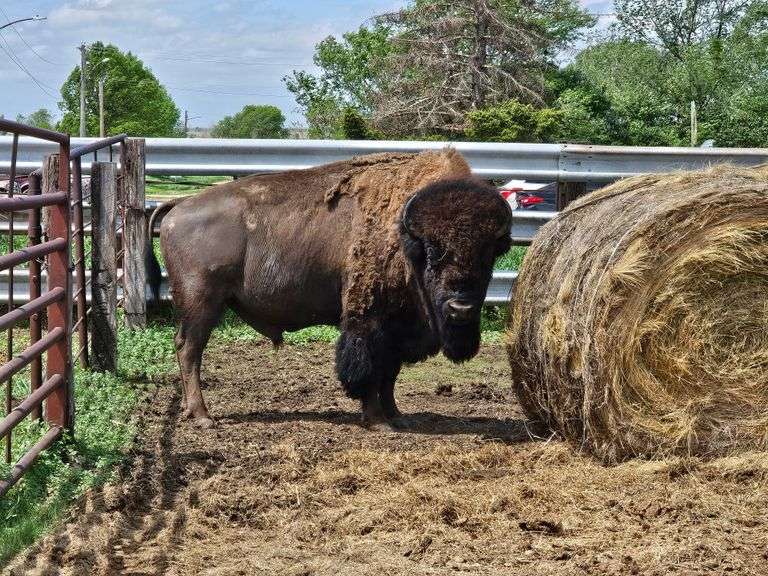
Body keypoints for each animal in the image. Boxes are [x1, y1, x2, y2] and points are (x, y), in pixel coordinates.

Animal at [149, 150, 512, 429]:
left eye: (489, 254)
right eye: (434, 251)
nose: (461, 308)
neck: (405, 237)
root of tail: (180, 204)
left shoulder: (396, 326)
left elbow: (390, 374)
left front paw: (397, 416)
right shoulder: (368, 319)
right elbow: (368, 368)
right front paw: (377, 420)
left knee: (185, 349)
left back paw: (192, 412)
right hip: (202, 303)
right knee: (189, 350)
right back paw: (203, 417)